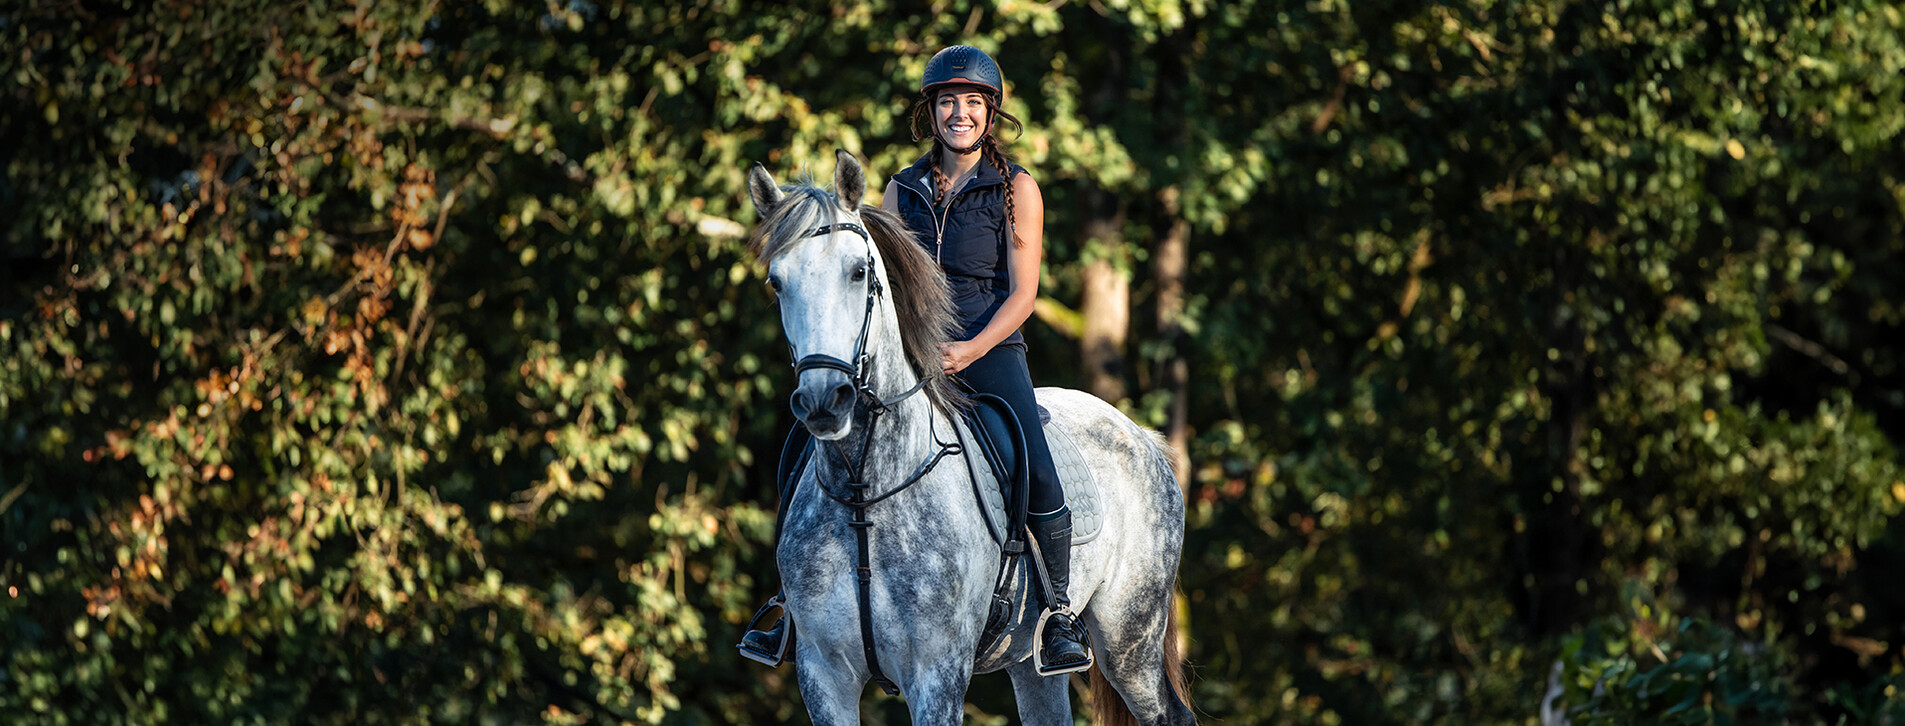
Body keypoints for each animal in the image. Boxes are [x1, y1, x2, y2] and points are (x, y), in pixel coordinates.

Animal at [744, 149, 1195, 726]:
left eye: (858, 271)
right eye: (777, 283)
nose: (825, 400)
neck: (866, 490)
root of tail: (1142, 437)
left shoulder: (936, 676)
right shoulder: (823, 678)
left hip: (1129, 641)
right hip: (1032, 662)